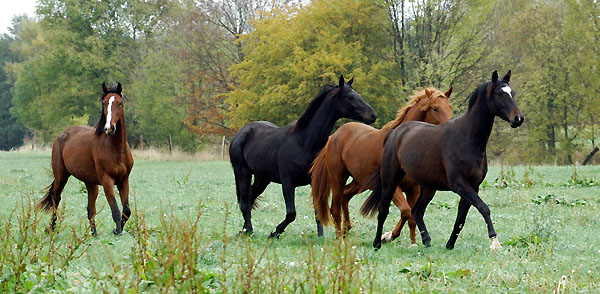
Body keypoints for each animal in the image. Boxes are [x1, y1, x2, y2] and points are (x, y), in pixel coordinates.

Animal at [37, 82, 134, 237]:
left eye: (119, 103)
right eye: (104, 103)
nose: (109, 128)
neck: (117, 150)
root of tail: (62, 135)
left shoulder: (123, 180)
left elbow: (126, 211)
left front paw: (116, 230)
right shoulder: (107, 181)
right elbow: (116, 211)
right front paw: (117, 232)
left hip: (90, 183)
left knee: (91, 210)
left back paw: (93, 234)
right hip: (61, 177)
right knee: (56, 199)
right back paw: (52, 229)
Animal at [230, 76, 376, 239]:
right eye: (350, 97)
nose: (373, 115)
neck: (304, 142)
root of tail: (241, 133)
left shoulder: (314, 182)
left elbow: (318, 211)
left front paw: (320, 236)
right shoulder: (287, 183)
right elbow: (291, 213)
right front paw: (275, 232)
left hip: (263, 179)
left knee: (249, 199)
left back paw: (244, 230)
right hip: (243, 173)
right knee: (244, 203)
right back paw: (248, 231)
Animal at [312, 86, 452, 242]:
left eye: (450, 107)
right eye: (435, 108)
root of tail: (334, 136)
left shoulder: (413, 189)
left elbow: (411, 216)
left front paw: (411, 242)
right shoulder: (392, 187)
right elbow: (406, 211)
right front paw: (389, 236)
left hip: (359, 181)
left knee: (345, 196)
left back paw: (346, 230)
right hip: (338, 177)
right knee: (335, 208)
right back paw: (340, 239)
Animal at [360, 70, 524, 249]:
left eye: (513, 93)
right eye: (500, 93)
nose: (518, 119)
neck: (467, 139)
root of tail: (395, 133)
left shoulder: (473, 186)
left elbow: (461, 218)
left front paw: (449, 245)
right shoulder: (459, 184)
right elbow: (483, 207)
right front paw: (495, 242)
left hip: (428, 187)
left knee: (417, 211)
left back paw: (426, 241)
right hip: (390, 181)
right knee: (384, 211)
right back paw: (378, 242)